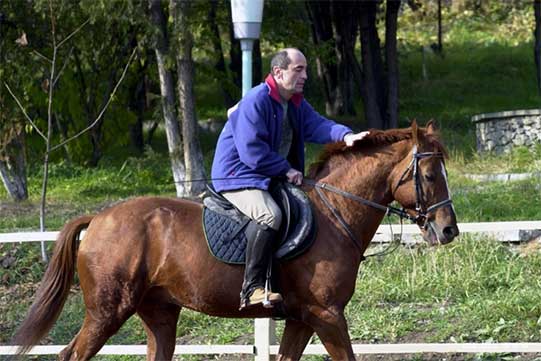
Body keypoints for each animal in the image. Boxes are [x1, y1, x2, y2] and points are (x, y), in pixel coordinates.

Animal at [13, 121, 456, 360]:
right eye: (430, 175)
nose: (448, 230)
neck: (334, 214)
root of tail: (99, 218)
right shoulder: (327, 315)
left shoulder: (301, 318)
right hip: (107, 312)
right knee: (72, 353)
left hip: (159, 314)